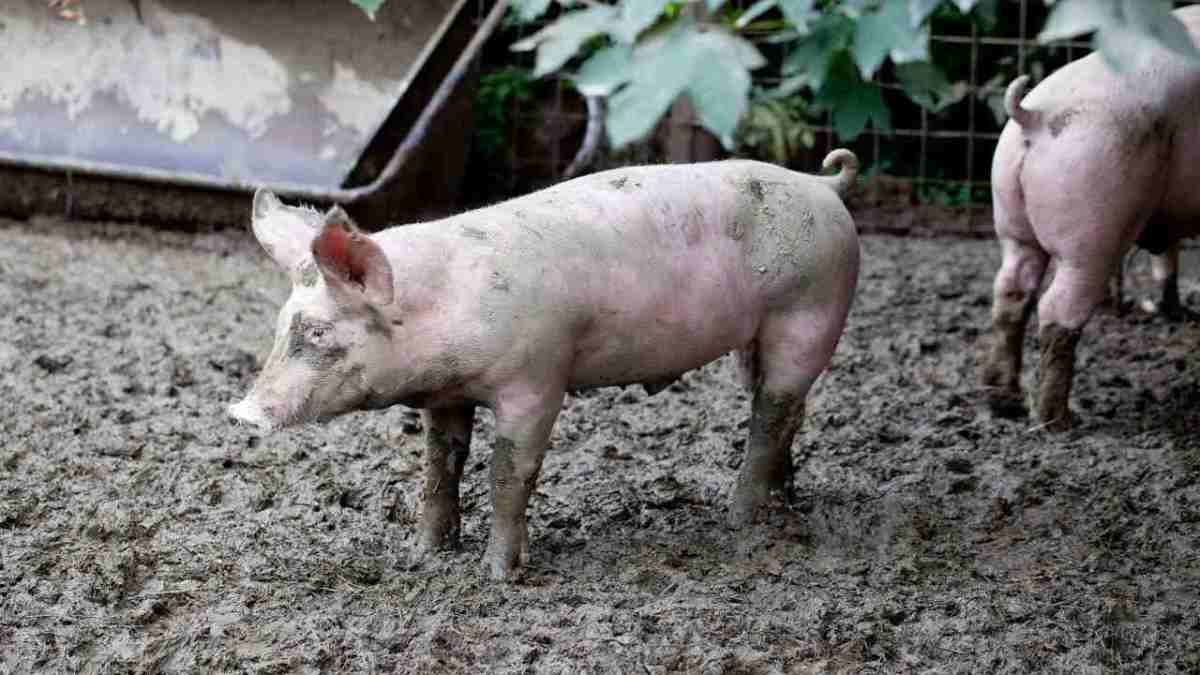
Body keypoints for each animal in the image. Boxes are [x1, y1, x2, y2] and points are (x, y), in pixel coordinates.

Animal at [229, 151, 860, 580]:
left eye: (317, 332)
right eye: (281, 324)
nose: (241, 414)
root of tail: (823, 183)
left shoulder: (536, 379)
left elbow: (508, 472)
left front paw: (498, 574)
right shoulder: (447, 396)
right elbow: (440, 465)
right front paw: (424, 553)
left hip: (811, 310)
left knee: (772, 412)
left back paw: (740, 519)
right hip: (759, 338)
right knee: (782, 409)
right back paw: (784, 500)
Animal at [981, 5, 1200, 431]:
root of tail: (1033, 115)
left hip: (1013, 222)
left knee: (1011, 291)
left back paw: (1002, 399)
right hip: (1093, 224)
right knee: (1057, 308)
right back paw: (1059, 421)